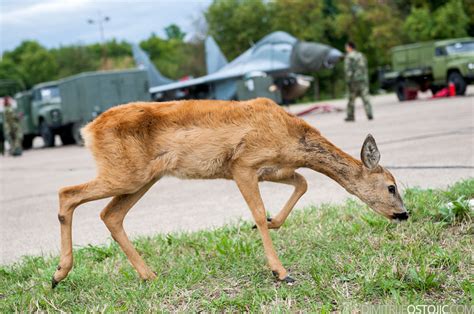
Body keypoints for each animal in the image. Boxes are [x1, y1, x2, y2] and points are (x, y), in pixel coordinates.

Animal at [51, 97, 408, 288]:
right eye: (391, 187)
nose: (404, 214)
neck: (291, 137)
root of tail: (89, 129)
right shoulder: (243, 164)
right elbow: (260, 213)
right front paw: (281, 272)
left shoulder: (272, 169)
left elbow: (302, 183)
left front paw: (273, 220)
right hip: (125, 173)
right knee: (67, 192)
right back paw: (59, 273)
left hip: (143, 177)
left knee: (110, 214)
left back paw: (148, 275)